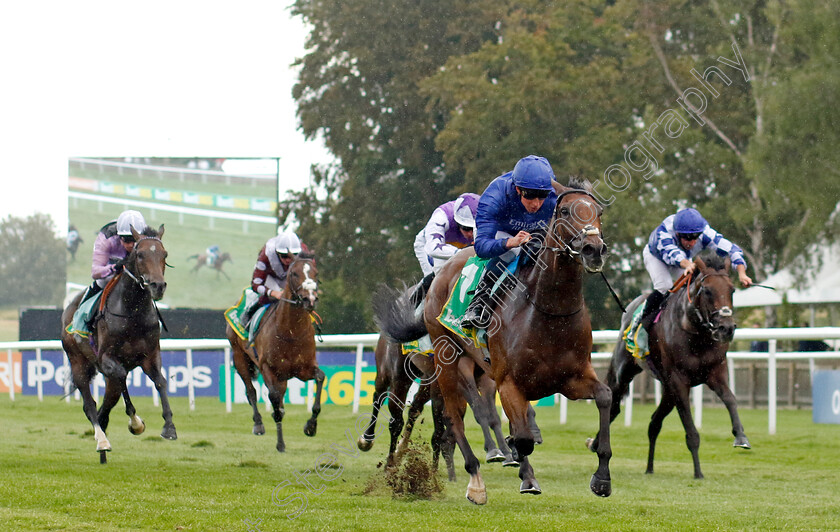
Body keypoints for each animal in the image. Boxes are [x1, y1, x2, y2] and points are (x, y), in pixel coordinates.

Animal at [60, 224, 174, 462]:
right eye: (140, 255)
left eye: (164, 254)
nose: (158, 286)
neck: (133, 312)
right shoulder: (106, 358)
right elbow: (122, 376)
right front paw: (136, 423)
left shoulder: (150, 355)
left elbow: (160, 381)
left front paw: (169, 426)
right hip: (78, 362)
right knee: (90, 405)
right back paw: (102, 441)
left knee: (105, 407)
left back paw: (103, 449)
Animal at [225, 256, 324, 450]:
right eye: (294, 274)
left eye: (316, 273)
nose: (310, 299)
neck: (290, 333)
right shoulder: (267, 368)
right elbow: (273, 398)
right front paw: (280, 443)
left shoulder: (304, 369)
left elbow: (320, 377)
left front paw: (311, 426)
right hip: (239, 356)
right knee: (251, 391)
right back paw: (258, 423)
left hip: (282, 376)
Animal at [374, 179, 612, 502]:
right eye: (564, 211)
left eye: (598, 211)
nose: (593, 249)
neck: (549, 313)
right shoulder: (506, 381)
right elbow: (517, 434)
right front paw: (520, 468)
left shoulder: (572, 378)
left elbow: (604, 397)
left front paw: (601, 478)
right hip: (429, 366)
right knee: (436, 417)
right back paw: (466, 478)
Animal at [588, 254, 752, 478]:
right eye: (707, 290)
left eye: (732, 290)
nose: (726, 328)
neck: (696, 333)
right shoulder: (679, 380)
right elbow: (691, 431)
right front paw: (698, 472)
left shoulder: (715, 373)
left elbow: (730, 399)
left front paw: (741, 436)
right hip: (624, 371)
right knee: (613, 405)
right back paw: (595, 443)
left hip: (667, 390)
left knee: (654, 423)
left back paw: (649, 467)